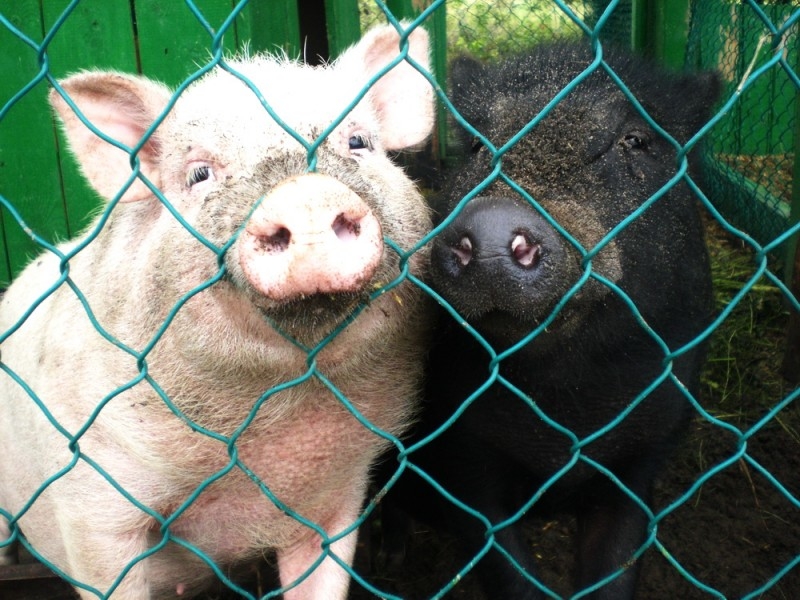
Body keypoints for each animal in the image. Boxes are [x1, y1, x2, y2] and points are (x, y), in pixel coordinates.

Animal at [382, 42, 720, 600]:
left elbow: (615, 567)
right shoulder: (465, 466)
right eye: (475, 145)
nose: (492, 221)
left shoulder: (644, 459)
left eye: (635, 140)